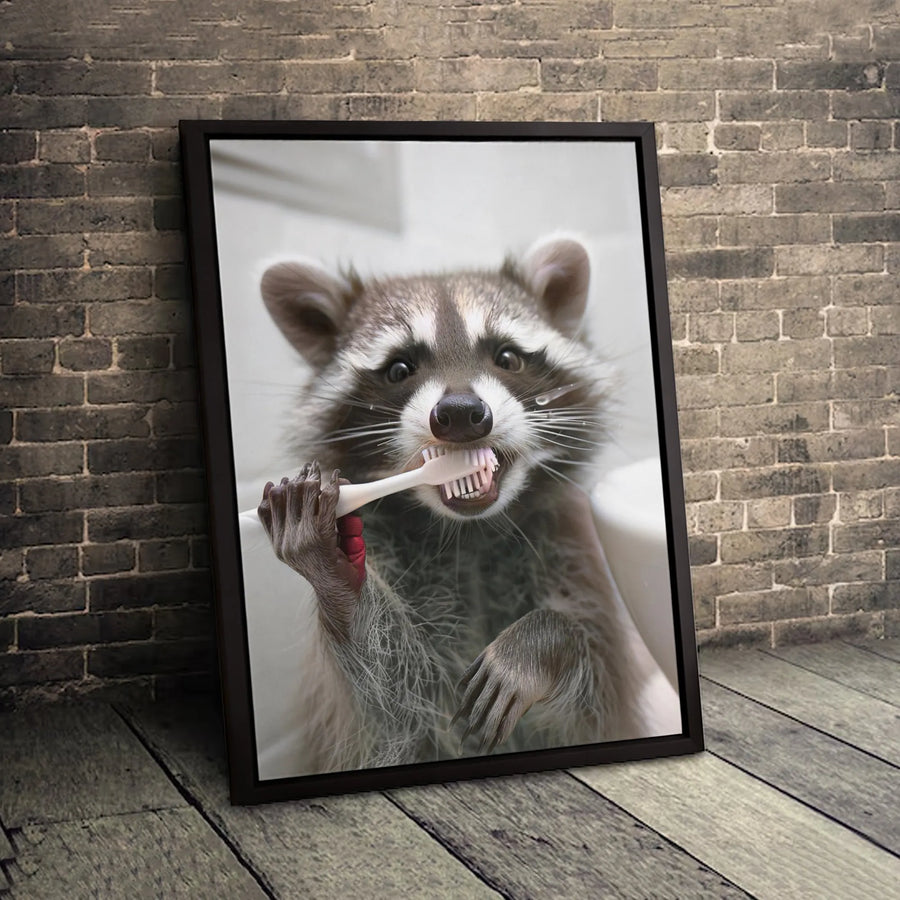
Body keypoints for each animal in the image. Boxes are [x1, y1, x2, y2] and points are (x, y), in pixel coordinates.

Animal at [256, 236, 649, 774]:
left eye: (507, 357)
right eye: (400, 369)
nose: (461, 413)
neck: (471, 531)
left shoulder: (570, 556)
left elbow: (593, 698)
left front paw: (545, 641)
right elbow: (393, 709)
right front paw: (337, 581)